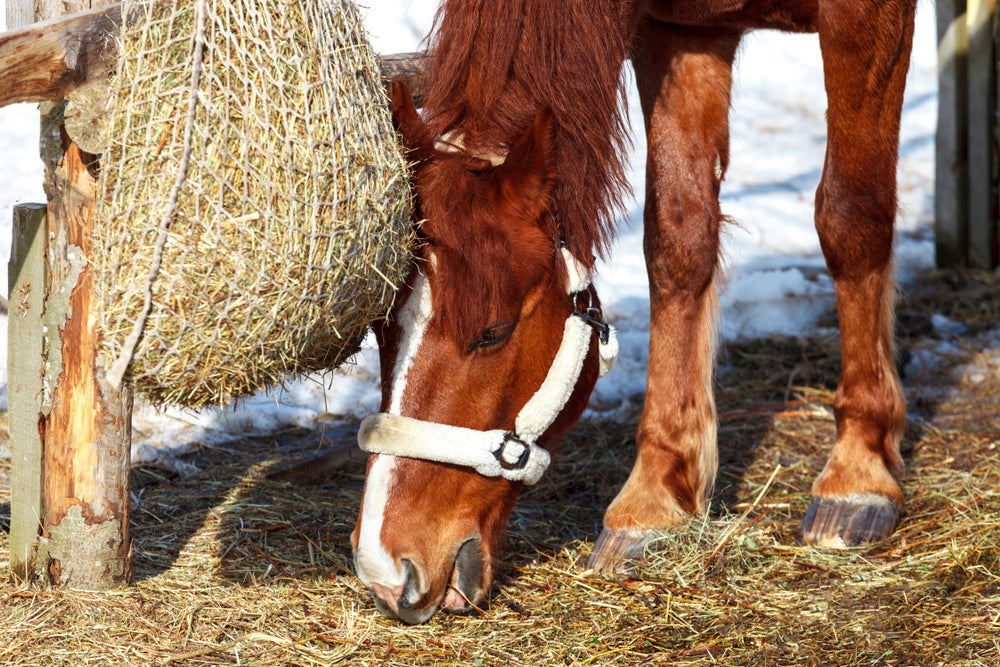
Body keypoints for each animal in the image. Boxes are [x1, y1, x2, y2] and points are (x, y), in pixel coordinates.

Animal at [352, 0, 917, 624]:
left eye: (492, 332)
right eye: (380, 332)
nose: (386, 570)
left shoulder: (865, 20)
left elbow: (852, 217)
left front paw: (859, 467)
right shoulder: (682, 31)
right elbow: (678, 236)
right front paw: (654, 497)